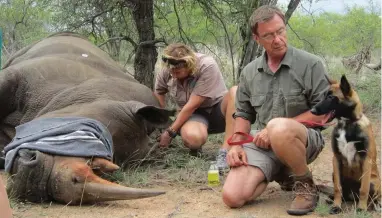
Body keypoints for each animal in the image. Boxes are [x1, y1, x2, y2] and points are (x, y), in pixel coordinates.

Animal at [312, 74, 380, 213]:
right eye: (323, 95)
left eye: (331, 97)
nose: (312, 110)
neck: (347, 124)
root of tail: (353, 196)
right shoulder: (336, 158)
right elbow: (338, 188)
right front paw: (336, 206)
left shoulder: (366, 159)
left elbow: (364, 189)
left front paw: (361, 208)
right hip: (335, 174)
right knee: (342, 193)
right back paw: (332, 199)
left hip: (374, 182)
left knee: (371, 196)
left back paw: (371, 206)